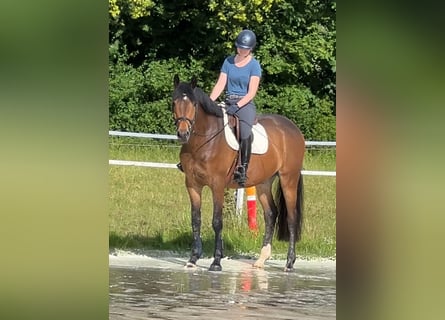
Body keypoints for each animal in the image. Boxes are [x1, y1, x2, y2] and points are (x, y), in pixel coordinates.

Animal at [172, 75, 304, 272]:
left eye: (193, 104)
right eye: (174, 102)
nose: (183, 133)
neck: (204, 140)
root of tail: (293, 128)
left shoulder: (217, 185)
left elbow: (217, 221)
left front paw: (216, 262)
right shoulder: (192, 184)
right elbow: (196, 220)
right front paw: (193, 259)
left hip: (289, 179)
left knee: (291, 217)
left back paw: (289, 263)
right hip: (264, 182)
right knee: (271, 214)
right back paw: (261, 260)